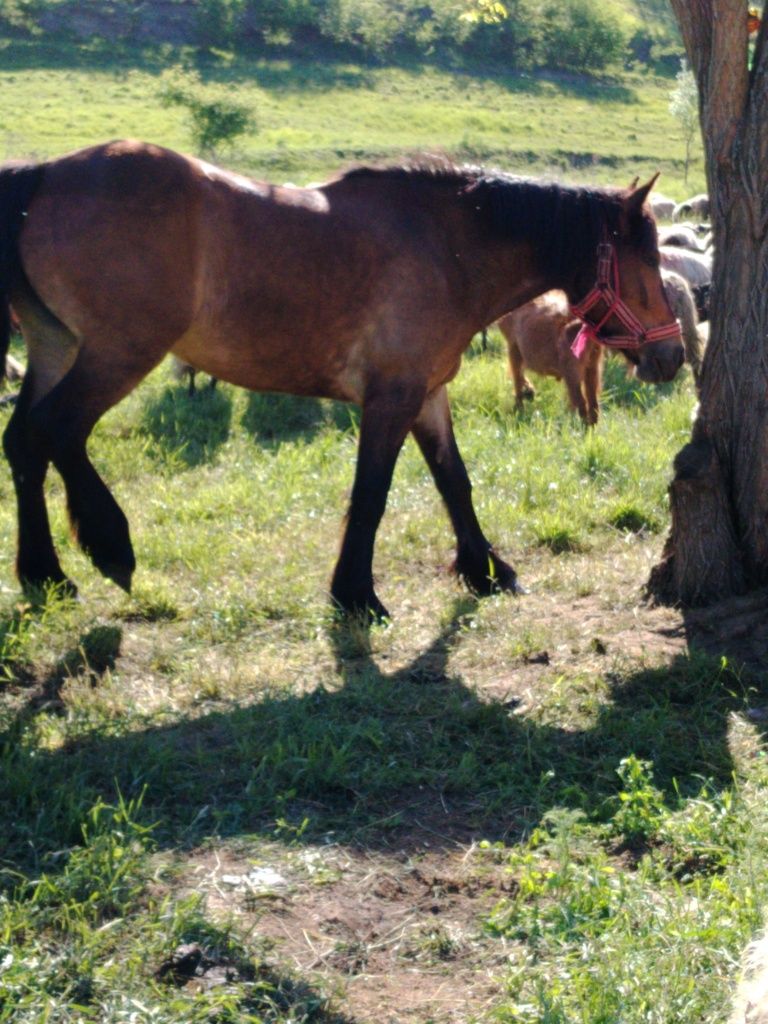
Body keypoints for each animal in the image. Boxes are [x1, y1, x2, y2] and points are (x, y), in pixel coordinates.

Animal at [0, 140, 684, 618]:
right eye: (648, 260)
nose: (673, 356)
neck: (445, 247)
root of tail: (45, 173)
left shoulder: (427, 394)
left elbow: (455, 483)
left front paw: (485, 569)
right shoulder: (391, 399)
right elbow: (371, 494)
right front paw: (356, 594)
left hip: (58, 349)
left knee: (23, 443)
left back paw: (45, 574)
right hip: (116, 354)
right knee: (55, 431)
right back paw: (108, 545)